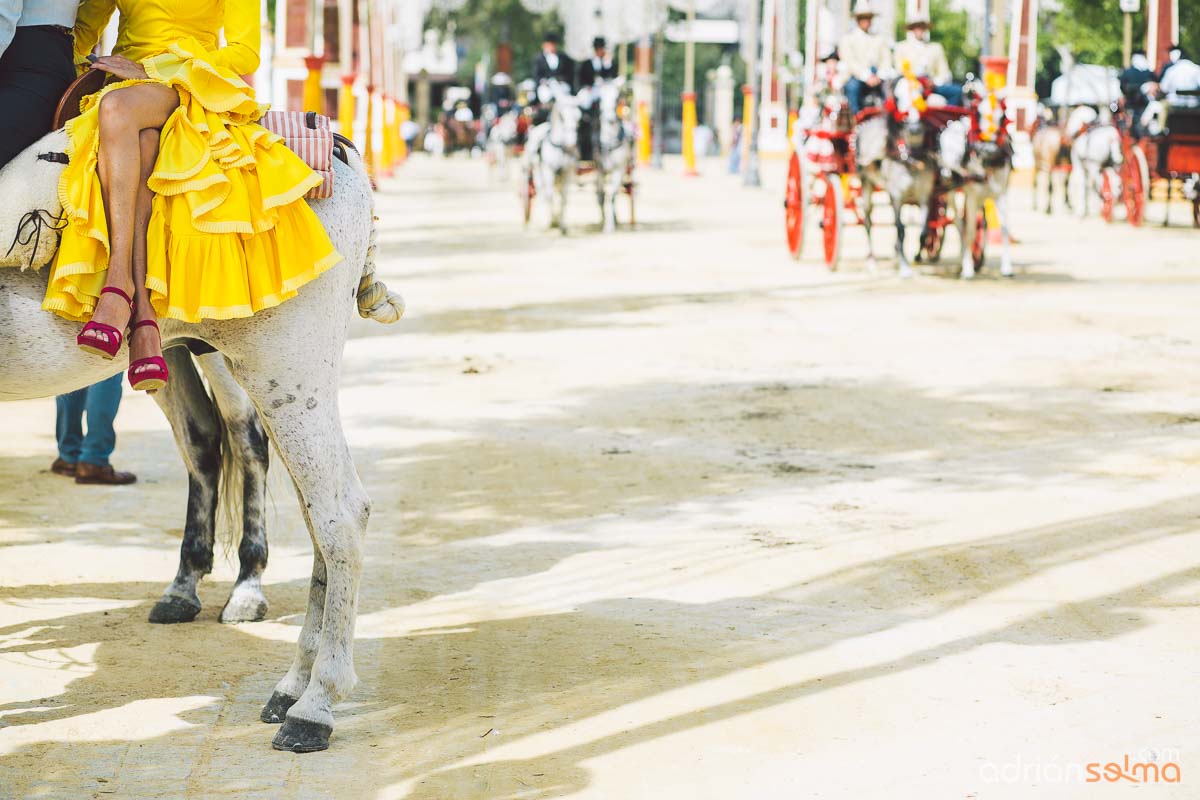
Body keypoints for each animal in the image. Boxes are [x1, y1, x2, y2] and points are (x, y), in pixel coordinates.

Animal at [0, 128, 408, 753]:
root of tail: (339, 149)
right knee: (303, 502)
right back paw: (289, 683)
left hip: (282, 369)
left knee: (334, 509)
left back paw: (313, 703)